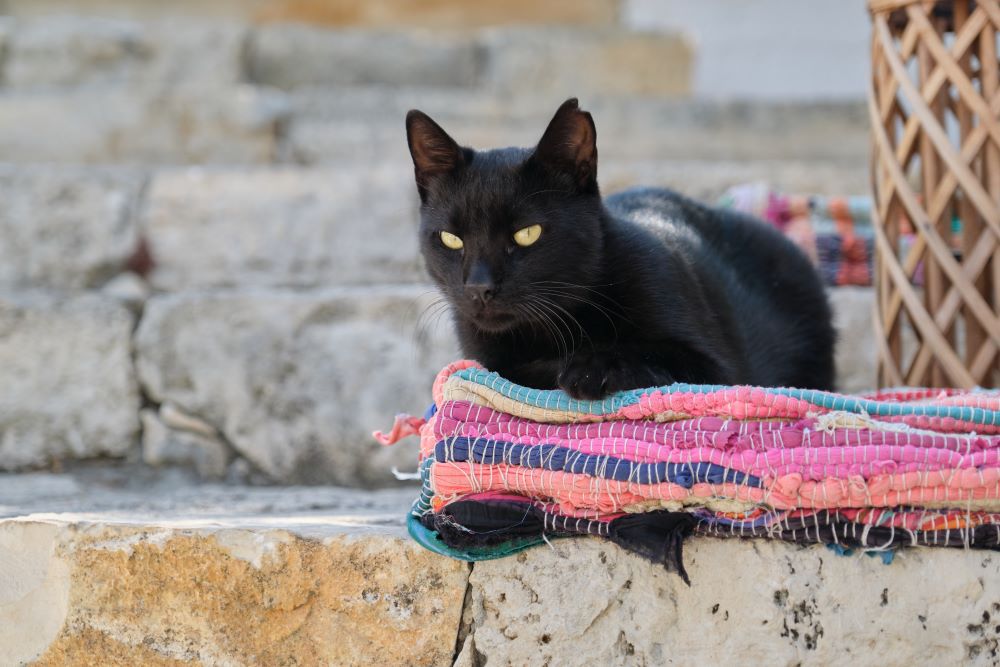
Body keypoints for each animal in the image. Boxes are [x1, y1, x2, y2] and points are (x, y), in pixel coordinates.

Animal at [406, 99, 836, 400]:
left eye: (527, 234)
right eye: (451, 239)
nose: (479, 287)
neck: (556, 329)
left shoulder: (720, 372)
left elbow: (649, 352)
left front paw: (591, 368)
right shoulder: (489, 363)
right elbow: (520, 370)